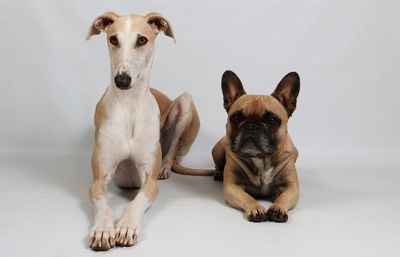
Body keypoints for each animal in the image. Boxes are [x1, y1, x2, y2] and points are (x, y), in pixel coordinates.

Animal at [86, 12, 211, 250]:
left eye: (142, 40)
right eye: (113, 39)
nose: (122, 80)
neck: (129, 107)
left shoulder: (149, 180)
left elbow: (137, 201)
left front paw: (127, 225)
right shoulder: (99, 178)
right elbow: (103, 204)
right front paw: (103, 229)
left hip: (185, 102)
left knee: (172, 150)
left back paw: (166, 167)